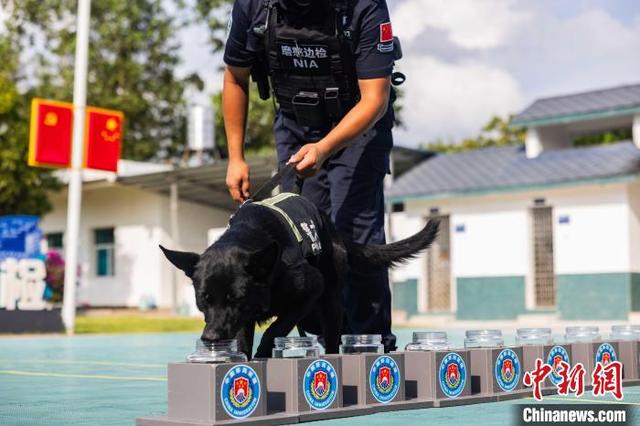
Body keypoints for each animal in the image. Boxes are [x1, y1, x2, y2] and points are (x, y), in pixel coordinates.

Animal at [162, 201, 438, 358]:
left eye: (236, 298)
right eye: (203, 299)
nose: (210, 337)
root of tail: (335, 232)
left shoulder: (309, 290)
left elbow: (275, 329)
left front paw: (263, 353)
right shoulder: (243, 318)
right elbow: (243, 341)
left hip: (326, 303)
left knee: (334, 333)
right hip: (312, 316)